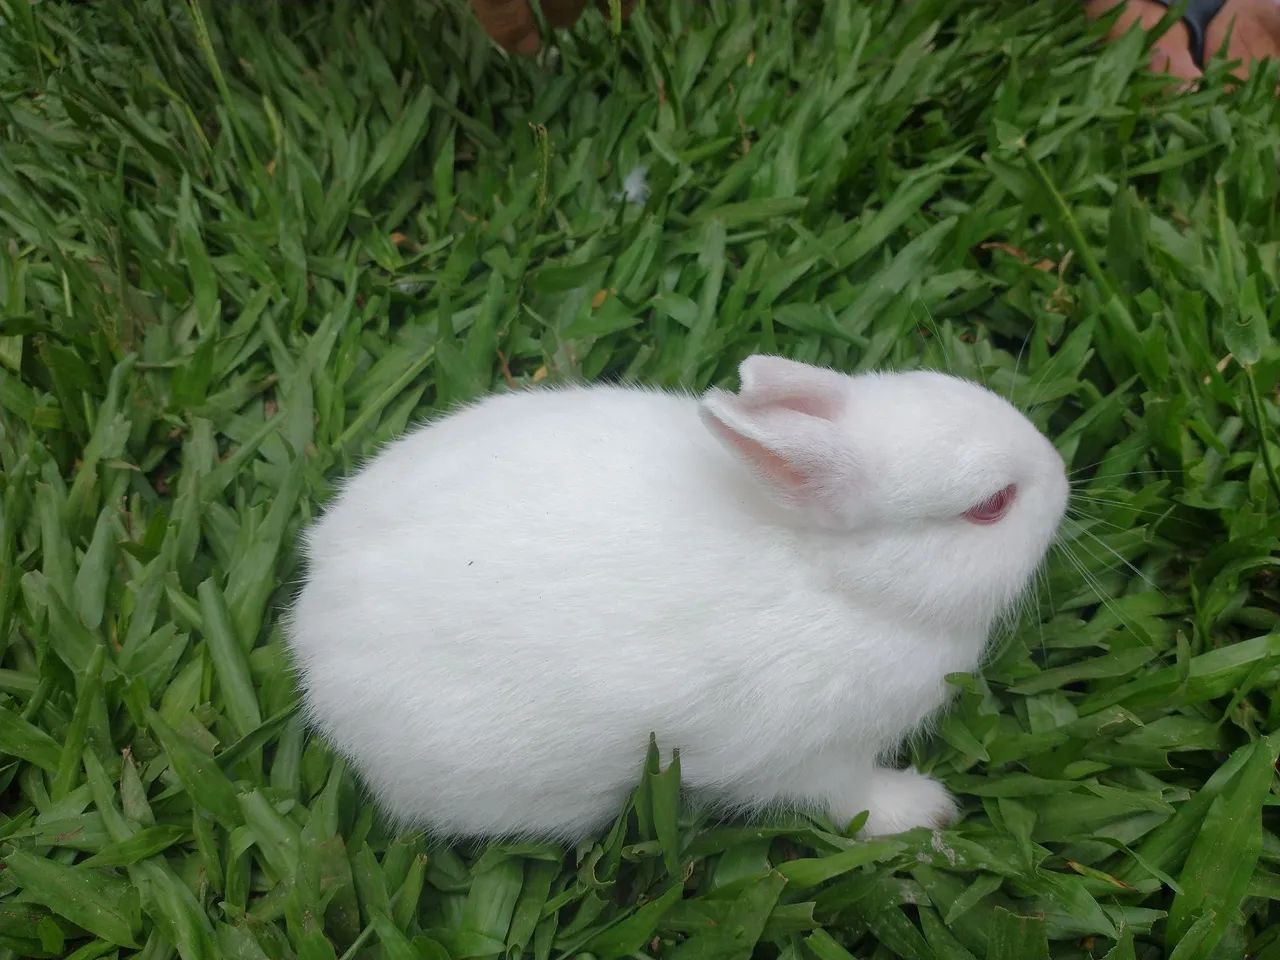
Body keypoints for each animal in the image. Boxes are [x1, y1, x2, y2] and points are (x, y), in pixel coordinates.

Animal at [285, 354, 1068, 840]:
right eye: (992, 505)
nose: (1062, 474)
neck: (839, 579)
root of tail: (311, 630)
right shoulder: (815, 758)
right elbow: (849, 800)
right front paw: (926, 812)